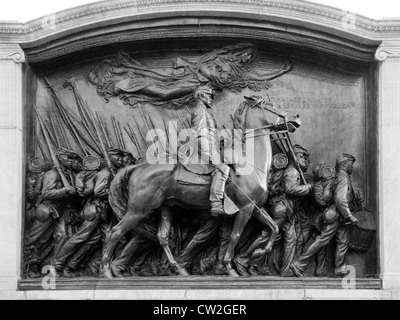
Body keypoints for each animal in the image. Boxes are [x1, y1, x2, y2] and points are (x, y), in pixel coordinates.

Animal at [100, 95, 300, 278]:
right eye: (272, 105)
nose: (296, 117)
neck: (249, 162)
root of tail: (137, 167)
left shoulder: (255, 207)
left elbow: (273, 227)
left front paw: (257, 254)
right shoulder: (245, 208)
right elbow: (235, 236)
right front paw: (229, 267)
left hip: (165, 208)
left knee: (162, 237)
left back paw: (179, 269)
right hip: (139, 209)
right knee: (115, 232)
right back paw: (107, 271)